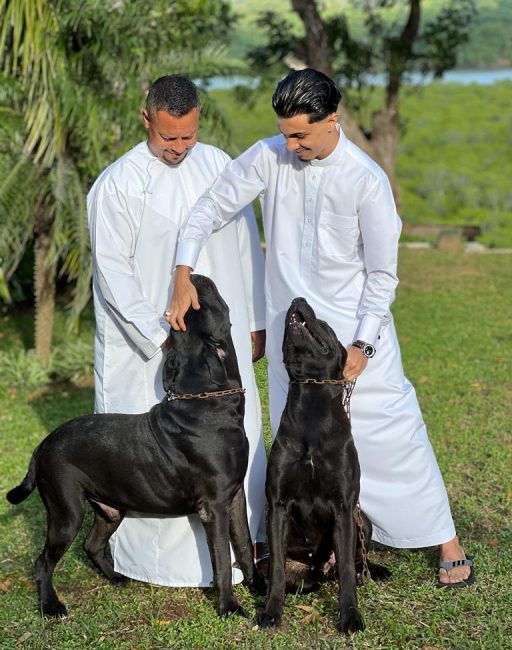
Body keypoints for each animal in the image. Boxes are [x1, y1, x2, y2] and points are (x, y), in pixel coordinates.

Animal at [7, 274, 265, 618]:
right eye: (203, 305)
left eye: (185, 320)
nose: (194, 278)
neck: (205, 401)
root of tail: (42, 445)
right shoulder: (214, 506)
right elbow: (222, 557)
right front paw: (229, 607)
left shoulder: (234, 496)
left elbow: (244, 542)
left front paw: (257, 585)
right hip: (67, 511)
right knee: (43, 561)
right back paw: (51, 605)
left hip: (110, 510)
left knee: (91, 544)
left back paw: (116, 578)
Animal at [257, 297, 390, 635]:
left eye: (326, 325)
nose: (298, 299)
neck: (311, 405)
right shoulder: (278, 505)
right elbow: (277, 571)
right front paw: (271, 613)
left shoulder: (344, 506)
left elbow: (346, 570)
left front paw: (350, 617)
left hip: (361, 519)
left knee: (354, 563)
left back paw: (371, 572)